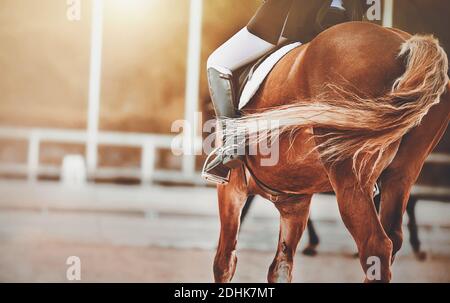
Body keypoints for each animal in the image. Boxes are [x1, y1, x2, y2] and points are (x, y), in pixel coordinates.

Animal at [213, 22, 448, 284]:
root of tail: (404, 43)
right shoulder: (295, 203)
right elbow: (280, 267)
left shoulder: (231, 189)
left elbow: (224, 261)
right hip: (401, 174)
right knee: (393, 238)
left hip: (350, 175)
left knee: (376, 244)